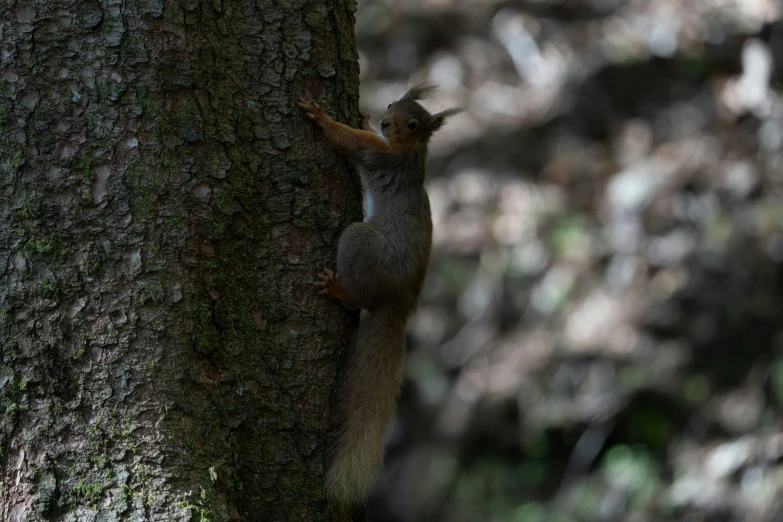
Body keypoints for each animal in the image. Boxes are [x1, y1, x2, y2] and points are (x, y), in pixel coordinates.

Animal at [298, 83, 460, 502]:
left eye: (413, 123)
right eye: (390, 103)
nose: (385, 121)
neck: (411, 151)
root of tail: (400, 304)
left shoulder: (379, 154)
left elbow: (348, 141)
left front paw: (321, 116)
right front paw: (363, 116)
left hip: (360, 243)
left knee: (361, 296)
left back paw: (339, 291)